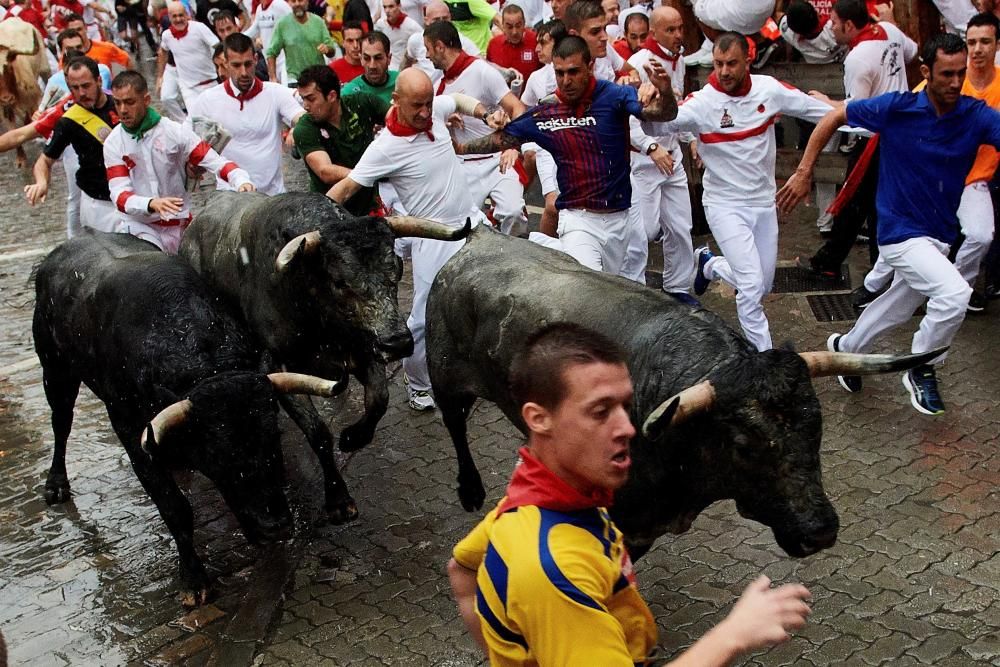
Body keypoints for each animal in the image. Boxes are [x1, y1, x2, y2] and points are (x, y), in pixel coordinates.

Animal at [35, 234, 342, 604]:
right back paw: (56, 484)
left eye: (273, 438)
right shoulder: (131, 431)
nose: (275, 527)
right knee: (61, 422)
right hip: (54, 369)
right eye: (217, 456)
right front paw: (194, 580)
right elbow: (174, 507)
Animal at [179, 192, 468, 520]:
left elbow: (378, 400)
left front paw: (353, 437)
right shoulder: (279, 368)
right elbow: (317, 432)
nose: (397, 342)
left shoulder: (364, 349)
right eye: (340, 282)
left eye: (395, 268)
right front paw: (338, 499)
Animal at [426, 227, 940, 560]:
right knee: (453, 425)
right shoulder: (625, 523)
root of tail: (480, 239)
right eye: (743, 445)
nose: (819, 531)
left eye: (816, 429)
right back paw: (470, 490)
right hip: (444, 376)